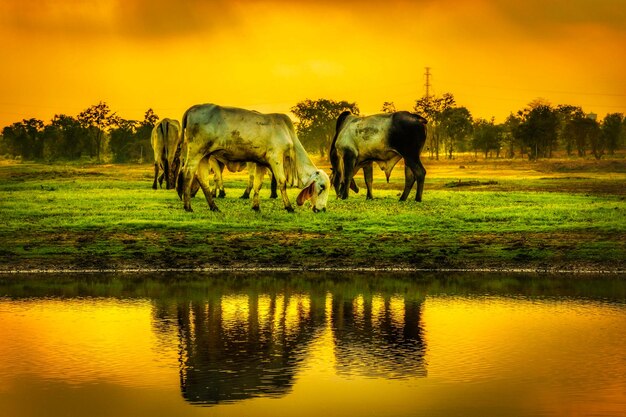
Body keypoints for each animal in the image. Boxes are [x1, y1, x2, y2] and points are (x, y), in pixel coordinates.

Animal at [176, 103, 330, 213]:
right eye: (322, 186)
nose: (322, 209)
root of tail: (193, 108)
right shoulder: (276, 158)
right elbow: (282, 182)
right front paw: (289, 207)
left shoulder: (261, 162)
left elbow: (258, 184)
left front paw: (256, 206)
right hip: (196, 152)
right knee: (187, 173)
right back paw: (188, 206)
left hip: (205, 155)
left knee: (202, 179)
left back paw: (214, 207)